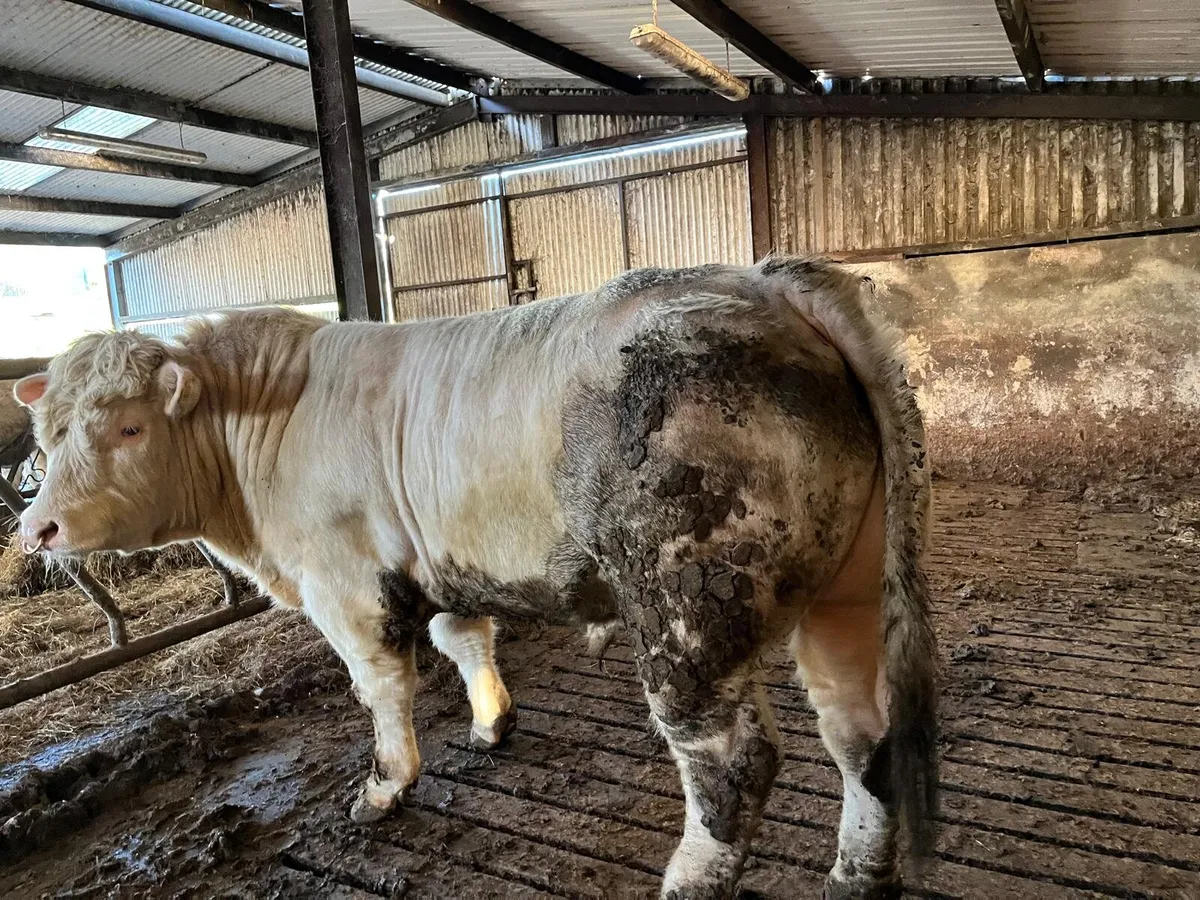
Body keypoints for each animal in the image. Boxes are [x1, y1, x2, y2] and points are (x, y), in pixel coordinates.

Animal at [14, 257, 938, 899]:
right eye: (47, 435)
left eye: (129, 428)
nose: (37, 527)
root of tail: (764, 281)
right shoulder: (438, 564)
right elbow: (463, 639)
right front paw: (493, 722)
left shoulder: (347, 585)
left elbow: (382, 689)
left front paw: (385, 786)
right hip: (848, 587)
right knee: (860, 730)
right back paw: (856, 874)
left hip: (688, 611)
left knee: (730, 762)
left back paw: (691, 878)